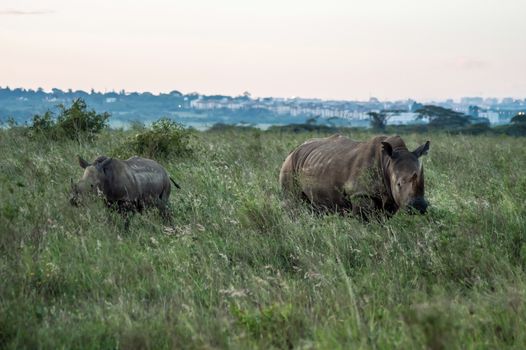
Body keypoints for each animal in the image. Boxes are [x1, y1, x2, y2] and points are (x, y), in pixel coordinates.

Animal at [282, 135, 432, 219]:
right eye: (399, 184)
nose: (418, 206)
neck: (388, 163)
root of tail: (294, 149)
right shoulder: (360, 193)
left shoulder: (390, 197)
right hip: (289, 165)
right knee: (293, 203)